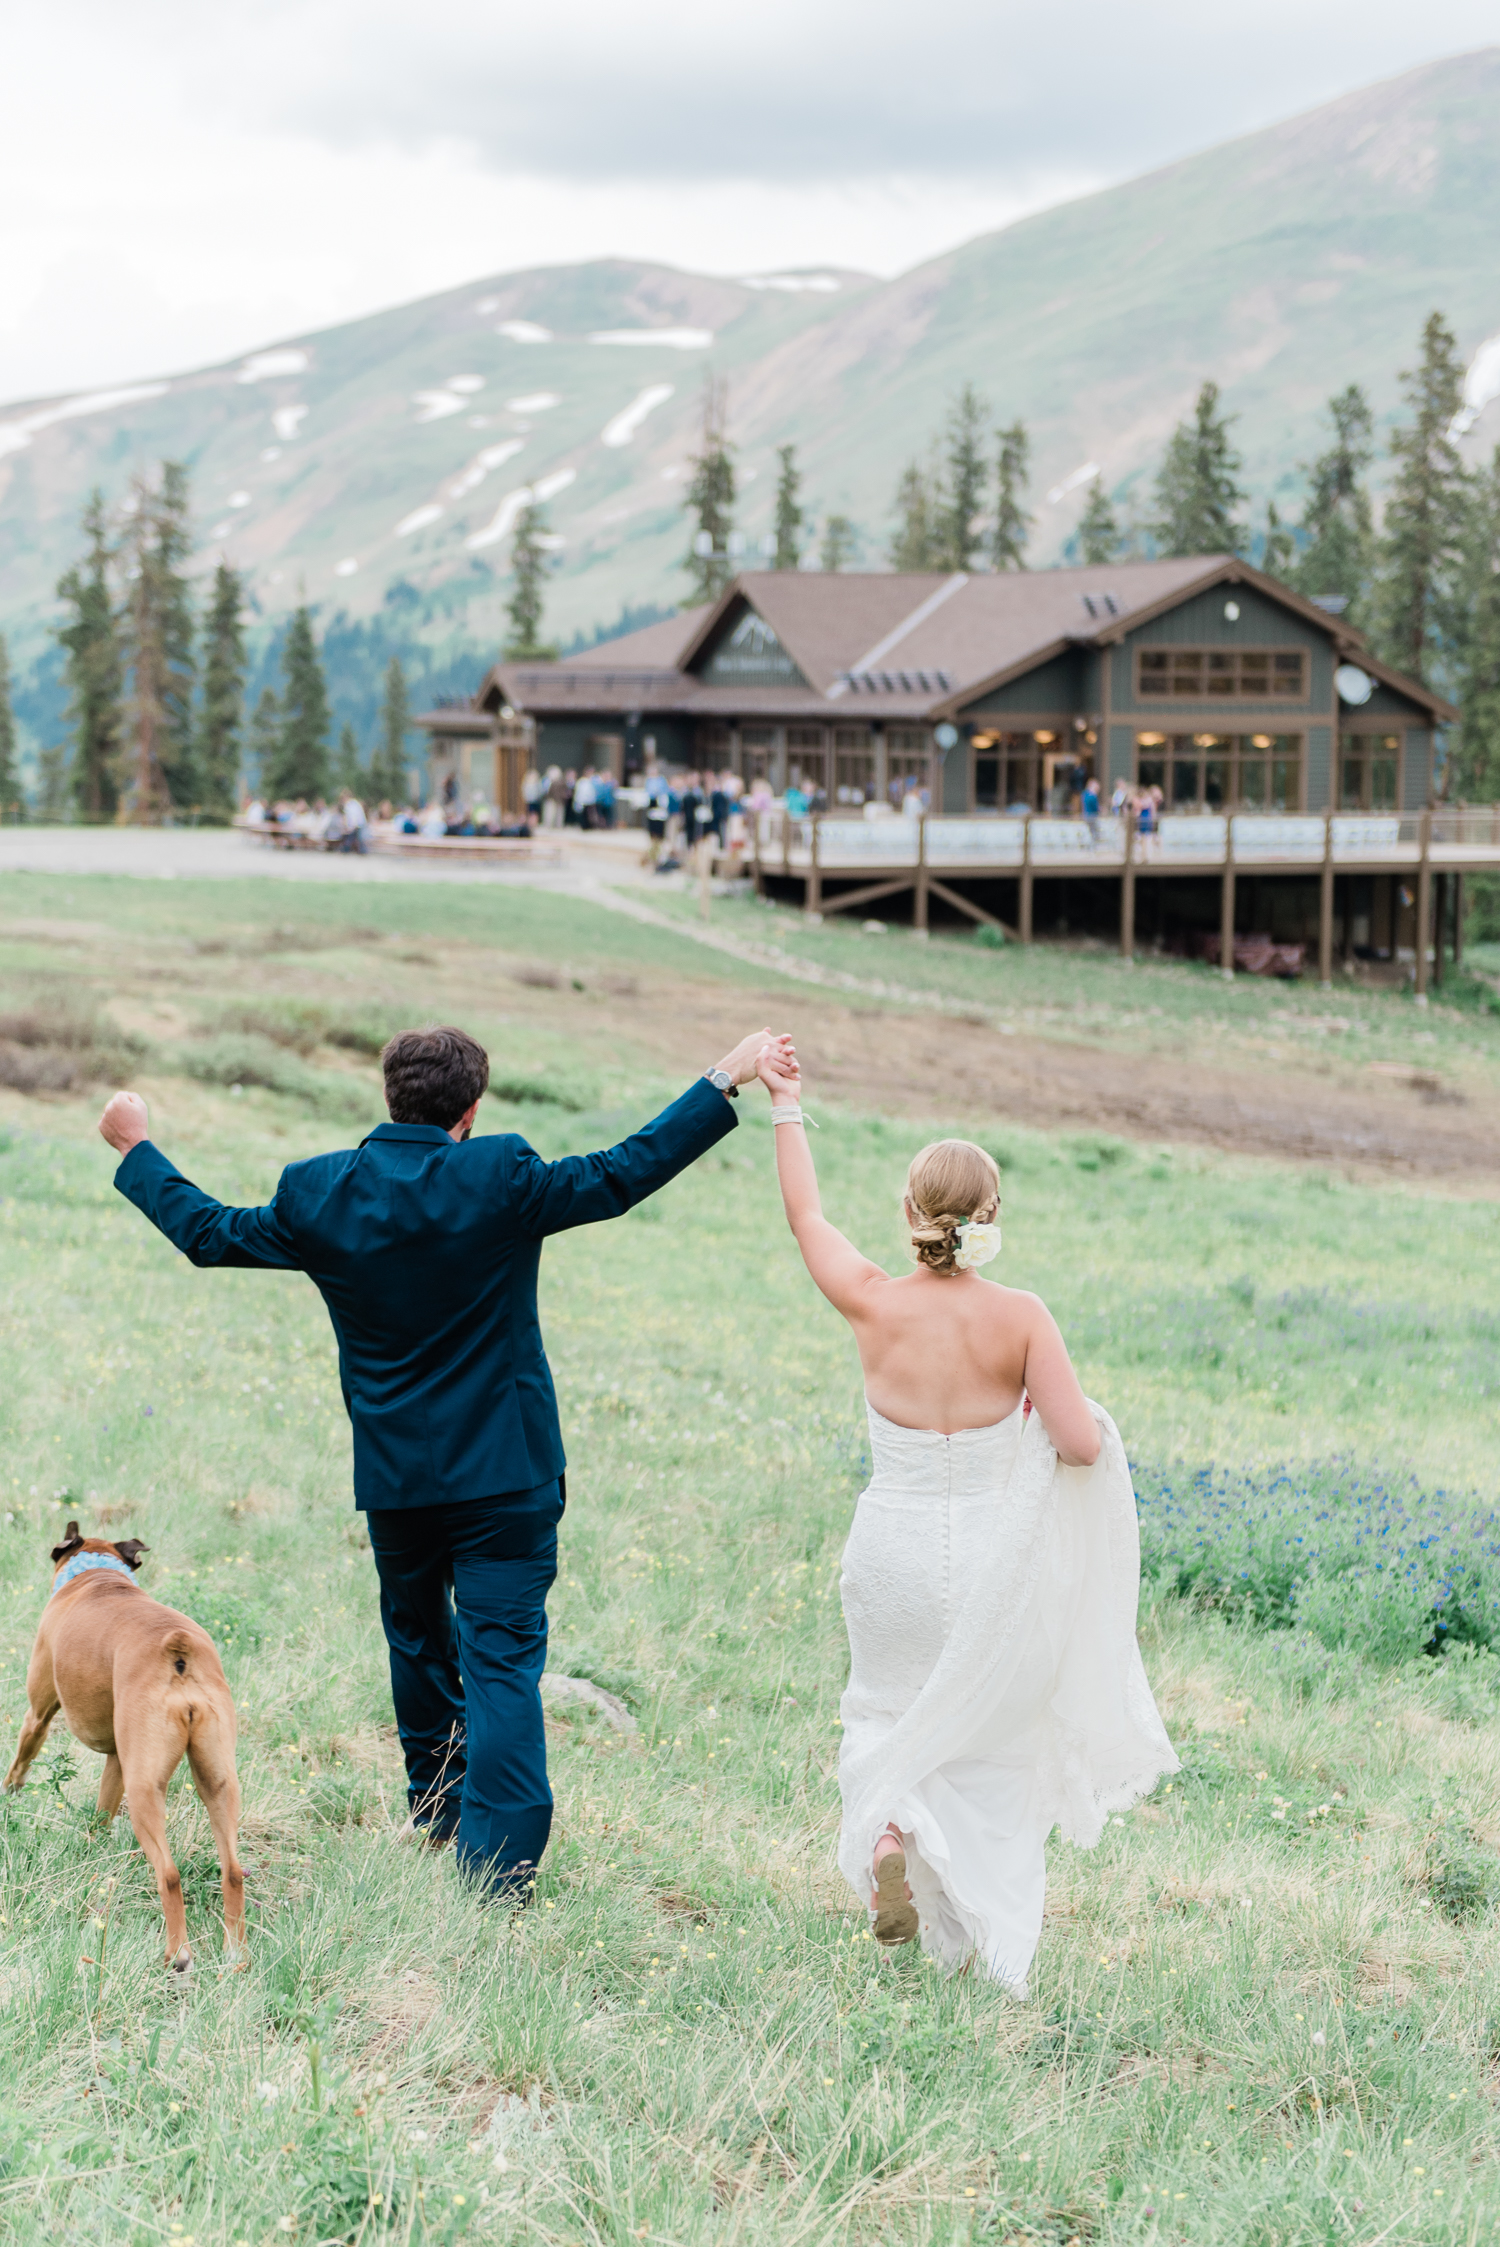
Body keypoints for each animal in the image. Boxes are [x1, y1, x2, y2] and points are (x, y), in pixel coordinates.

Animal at [3, 1527, 243, 1968]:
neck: (95, 1573)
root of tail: (179, 1649)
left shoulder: (38, 1716)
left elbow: (19, 1764)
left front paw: (8, 1798)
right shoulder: (117, 1760)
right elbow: (100, 1816)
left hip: (145, 1789)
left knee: (169, 1875)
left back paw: (178, 1955)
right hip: (218, 1781)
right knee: (232, 1870)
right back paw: (235, 1955)